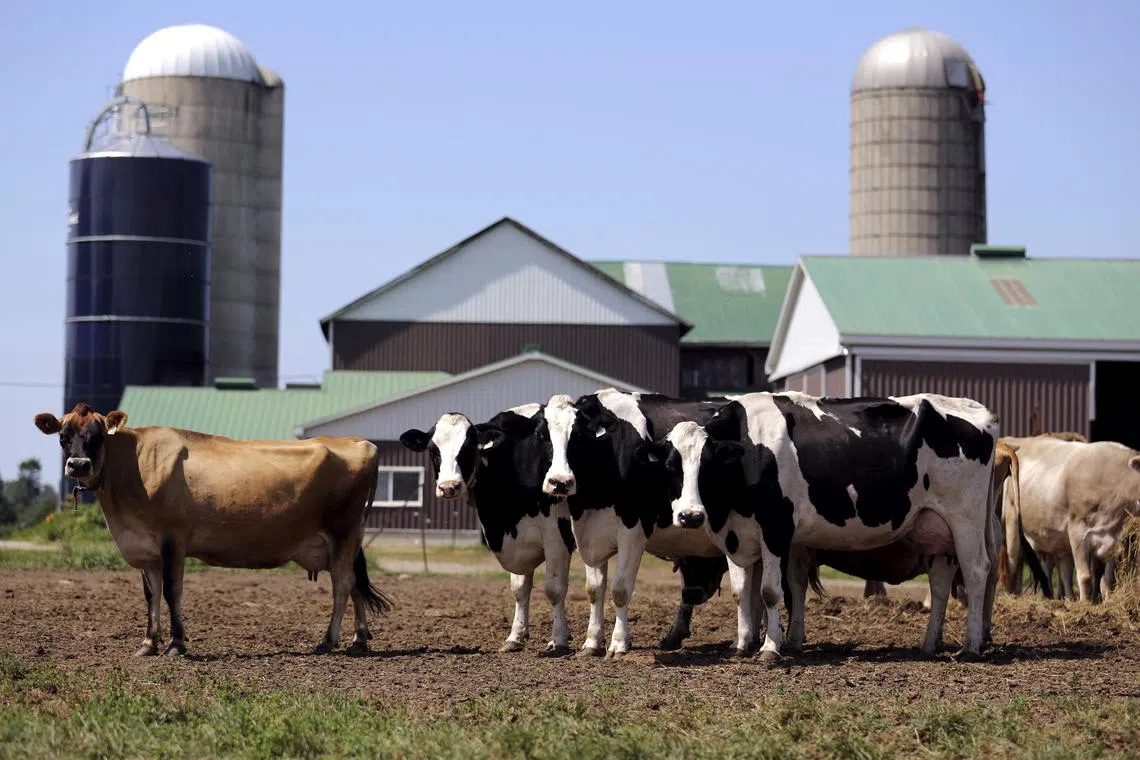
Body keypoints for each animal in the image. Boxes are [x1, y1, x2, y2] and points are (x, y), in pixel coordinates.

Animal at [34, 403, 391, 657]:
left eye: (96, 436)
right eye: (63, 436)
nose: (78, 465)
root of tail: (359, 441)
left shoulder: (174, 540)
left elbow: (171, 591)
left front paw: (176, 644)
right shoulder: (145, 547)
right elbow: (151, 594)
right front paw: (149, 643)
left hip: (343, 532)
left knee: (342, 586)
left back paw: (328, 641)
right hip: (342, 542)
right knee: (355, 584)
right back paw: (359, 640)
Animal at [541, 390, 740, 658]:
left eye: (578, 435)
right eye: (543, 435)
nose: (560, 482)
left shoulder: (633, 530)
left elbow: (620, 589)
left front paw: (618, 643)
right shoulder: (588, 534)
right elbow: (594, 589)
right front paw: (591, 642)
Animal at [640, 391, 1002, 661]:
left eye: (708, 464)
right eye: (671, 467)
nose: (690, 516)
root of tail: (978, 411)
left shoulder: (776, 527)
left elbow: (770, 591)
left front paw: (770, 649)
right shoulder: (739, 534)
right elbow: (744, 591)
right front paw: (744, 644)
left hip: (965, 519)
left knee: (976, 572)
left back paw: (970, 646)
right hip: (936, 530)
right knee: (940, 583)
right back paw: (929, 645)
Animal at [999, 435, 1140, 603]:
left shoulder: (1114, 538)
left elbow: (1107, 579)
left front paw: (1107, 601)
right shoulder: (1077, 532)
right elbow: (1085, 576)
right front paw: (1085, 603)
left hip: (1056, 540)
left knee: (1061, 570)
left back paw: (1065, 598)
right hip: (1012, 522)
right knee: (1013, 561)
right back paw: (1011, 596)